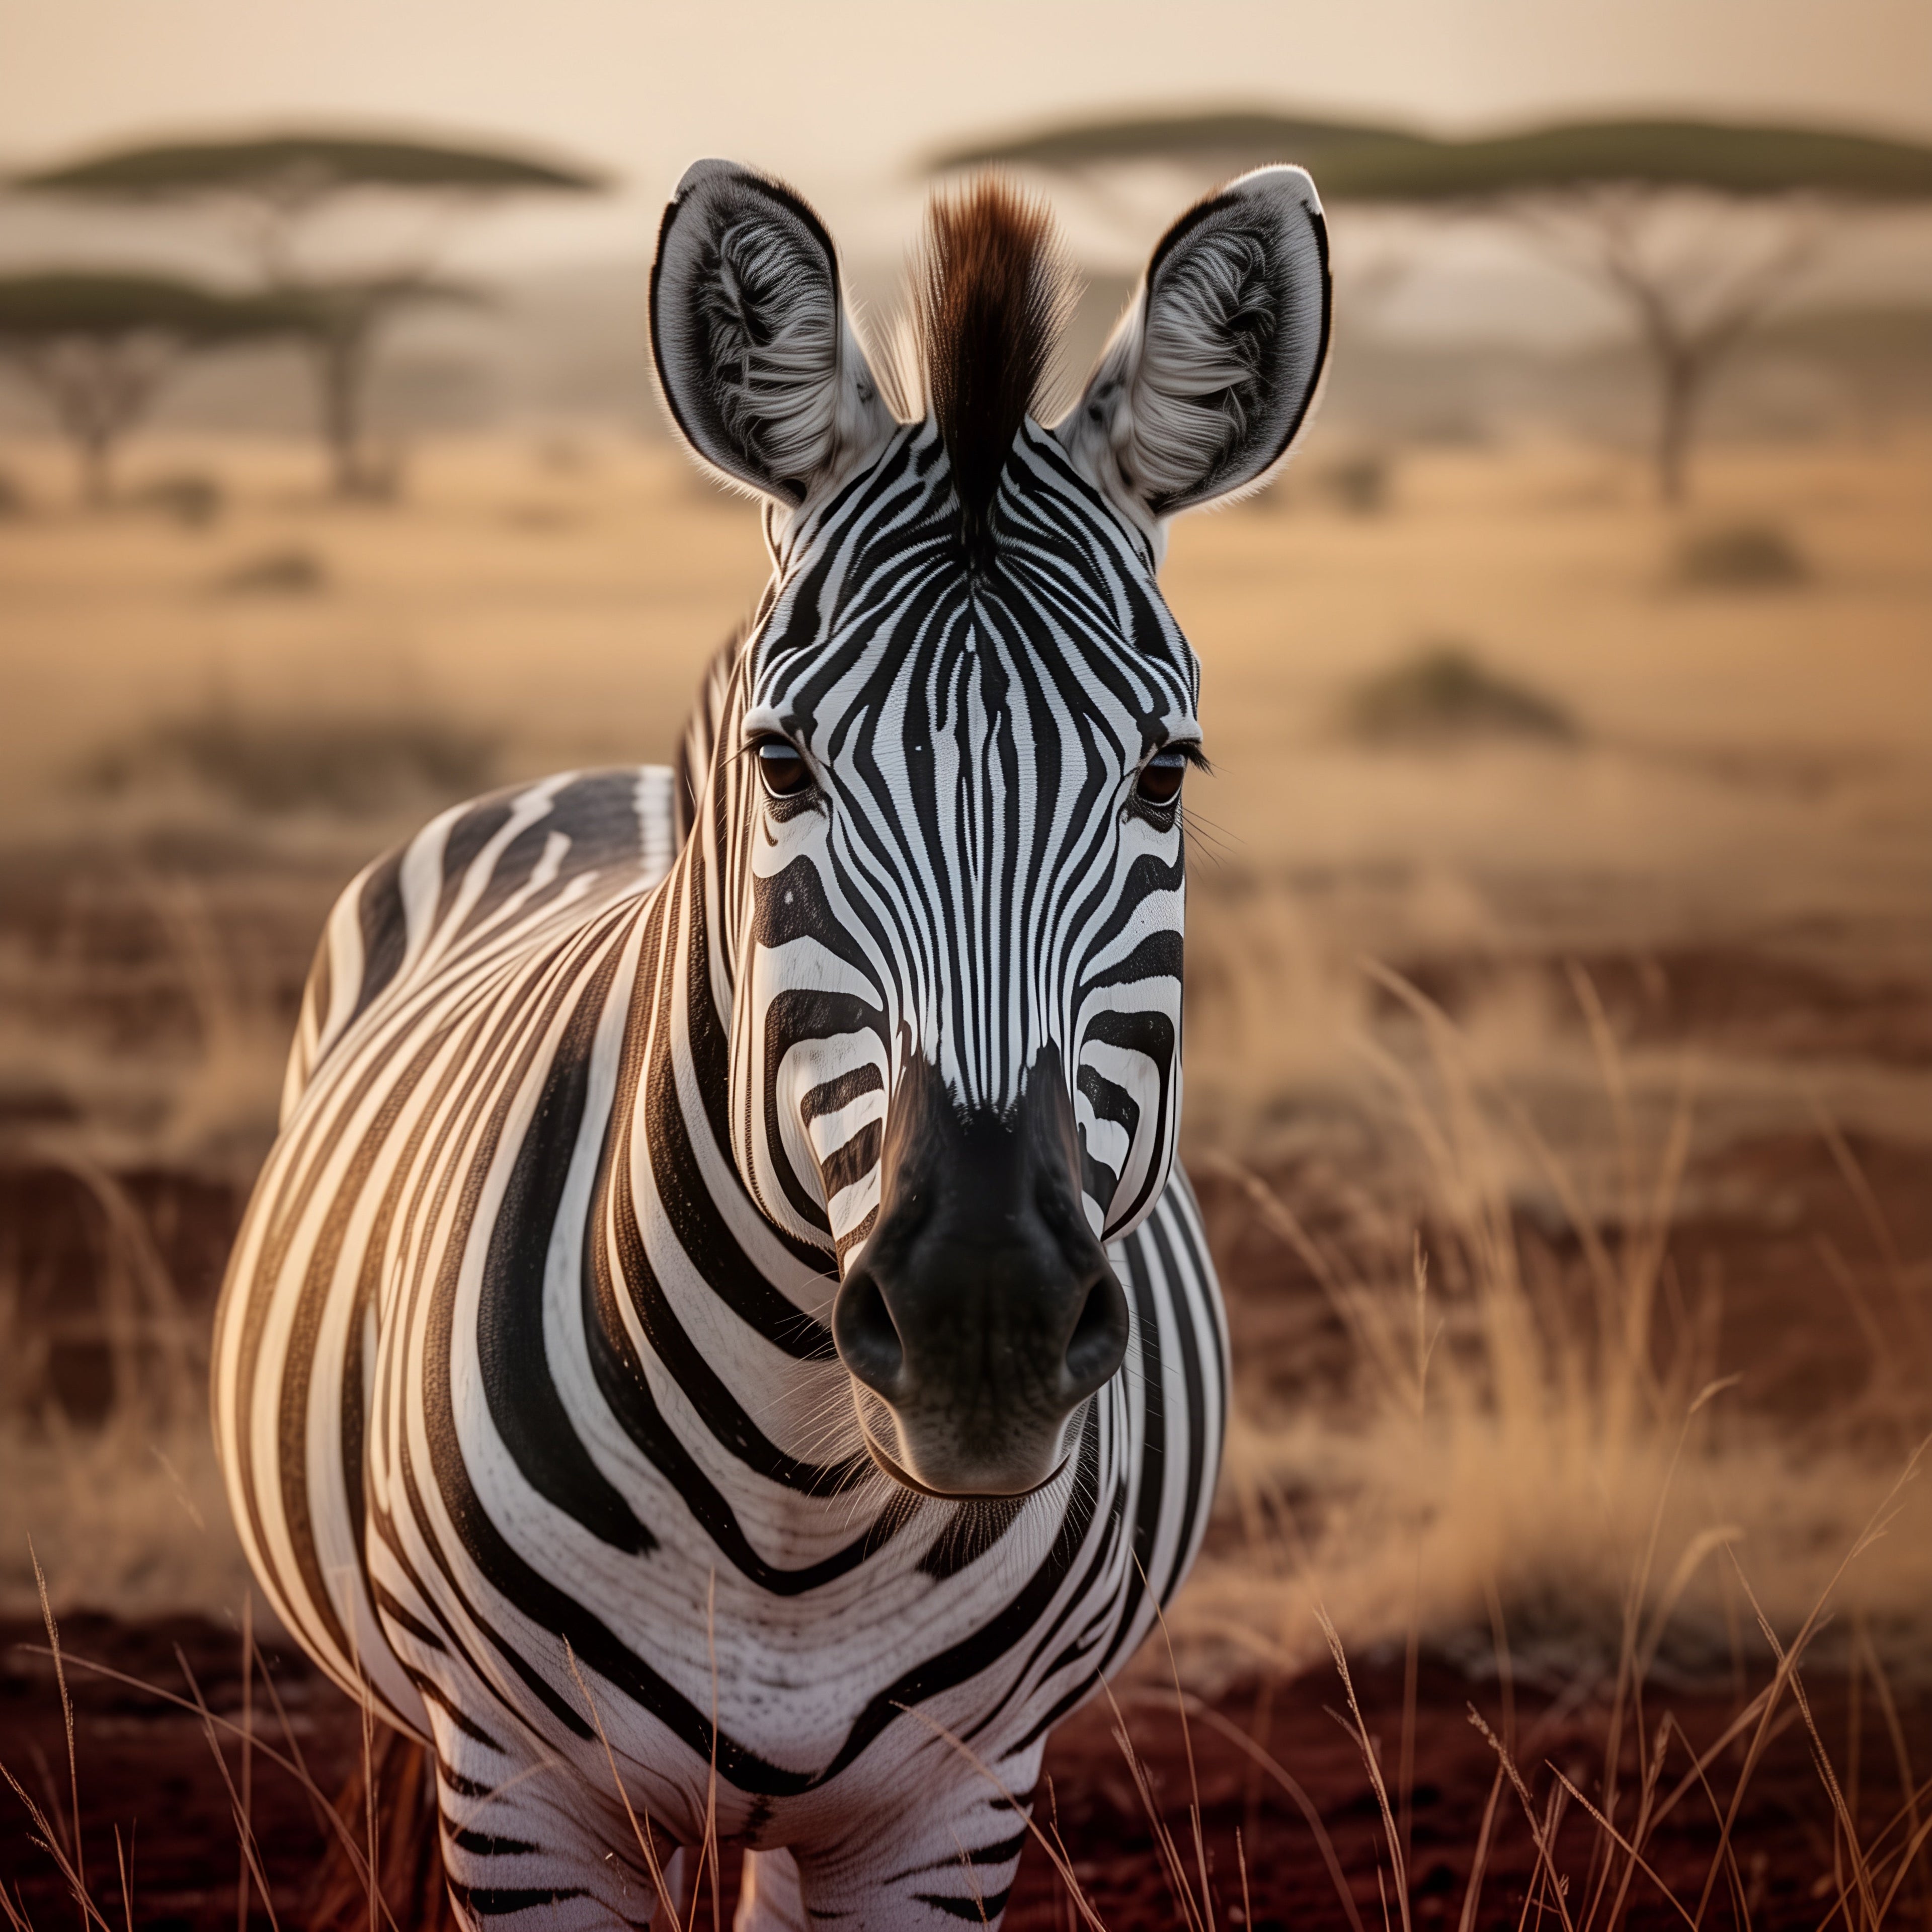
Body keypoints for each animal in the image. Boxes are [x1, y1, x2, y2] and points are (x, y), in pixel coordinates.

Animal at [213, 158, 1329, 1929]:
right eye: (785, 760)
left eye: (1167, 772)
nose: (982, 1329)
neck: (800, 1496)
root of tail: (607, 783)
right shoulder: (523, 1801)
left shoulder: (949, 1811)